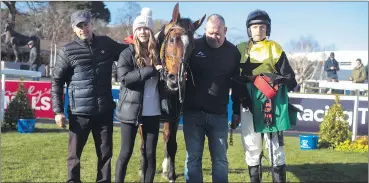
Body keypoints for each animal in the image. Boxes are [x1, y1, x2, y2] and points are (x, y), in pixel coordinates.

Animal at [137, 3, 204, 182]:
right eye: (172, 39)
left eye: (193, 47)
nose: (175, 81)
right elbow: (144, 145)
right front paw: (142, 170)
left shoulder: (174, 117)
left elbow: (171, 144)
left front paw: (171, 174)